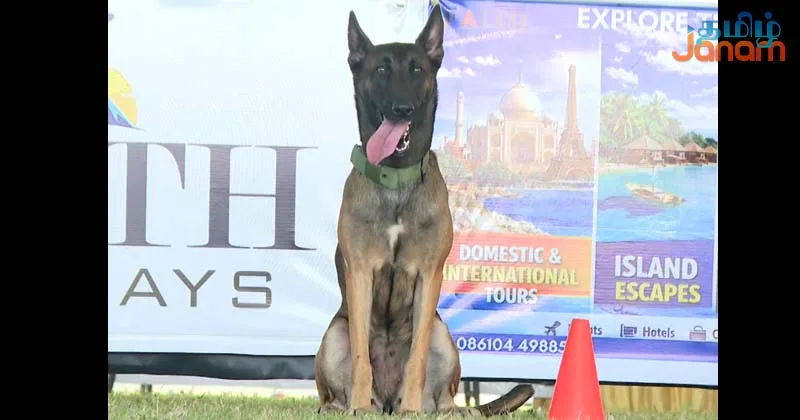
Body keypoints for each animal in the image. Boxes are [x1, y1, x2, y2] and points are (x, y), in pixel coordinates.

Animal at [315, 6, 534, 416]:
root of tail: (386, 399)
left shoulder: (429, 275)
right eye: (380, 70)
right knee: (335, 381)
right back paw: (343, 405)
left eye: (417, 69)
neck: (396, 179)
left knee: (444, 394)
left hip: (442, 334)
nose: (403, 108)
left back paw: (442, 410)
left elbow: (415, 357)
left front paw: (412, 410)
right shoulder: (360, 273)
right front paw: (358, 407)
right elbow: (361, 358)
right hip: (334, 334)